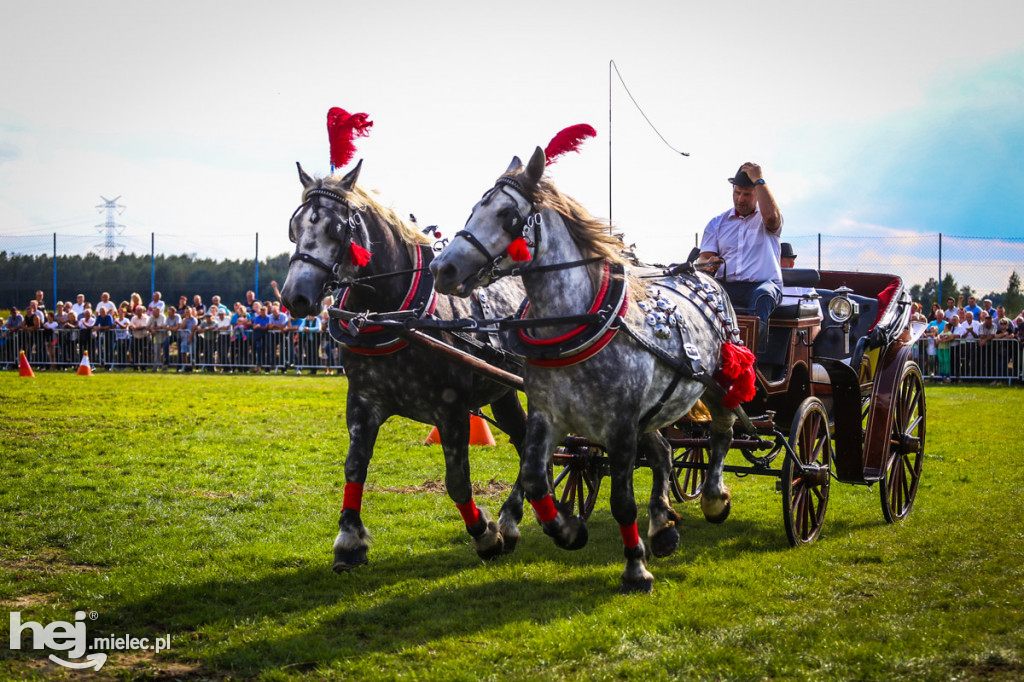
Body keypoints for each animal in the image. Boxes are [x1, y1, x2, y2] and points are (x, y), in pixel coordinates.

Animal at [280, 161, 528, 569]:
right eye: (295, 227)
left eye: (335, 228)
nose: (294, 297)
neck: (394, 312)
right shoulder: (363, 402)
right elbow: (354, 466)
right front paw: (349, 540)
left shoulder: (452, 410)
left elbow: (457, 481)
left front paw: (483, 534)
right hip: (503, 390)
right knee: (524, 440)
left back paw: (508, 520)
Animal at [430, 147, 737, 589]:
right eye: (474, 209)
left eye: (508, 214)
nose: (443, 269)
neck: (576, 323)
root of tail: (702, 274)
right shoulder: (548, 416)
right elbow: (535, 478)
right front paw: (569, 530)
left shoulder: (622, 426)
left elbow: (622, 502)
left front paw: (635, 569)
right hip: (653, 412)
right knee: (664, 452)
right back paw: (662, 525)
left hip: (718, 383)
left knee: (721, 434)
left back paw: (713, 498)